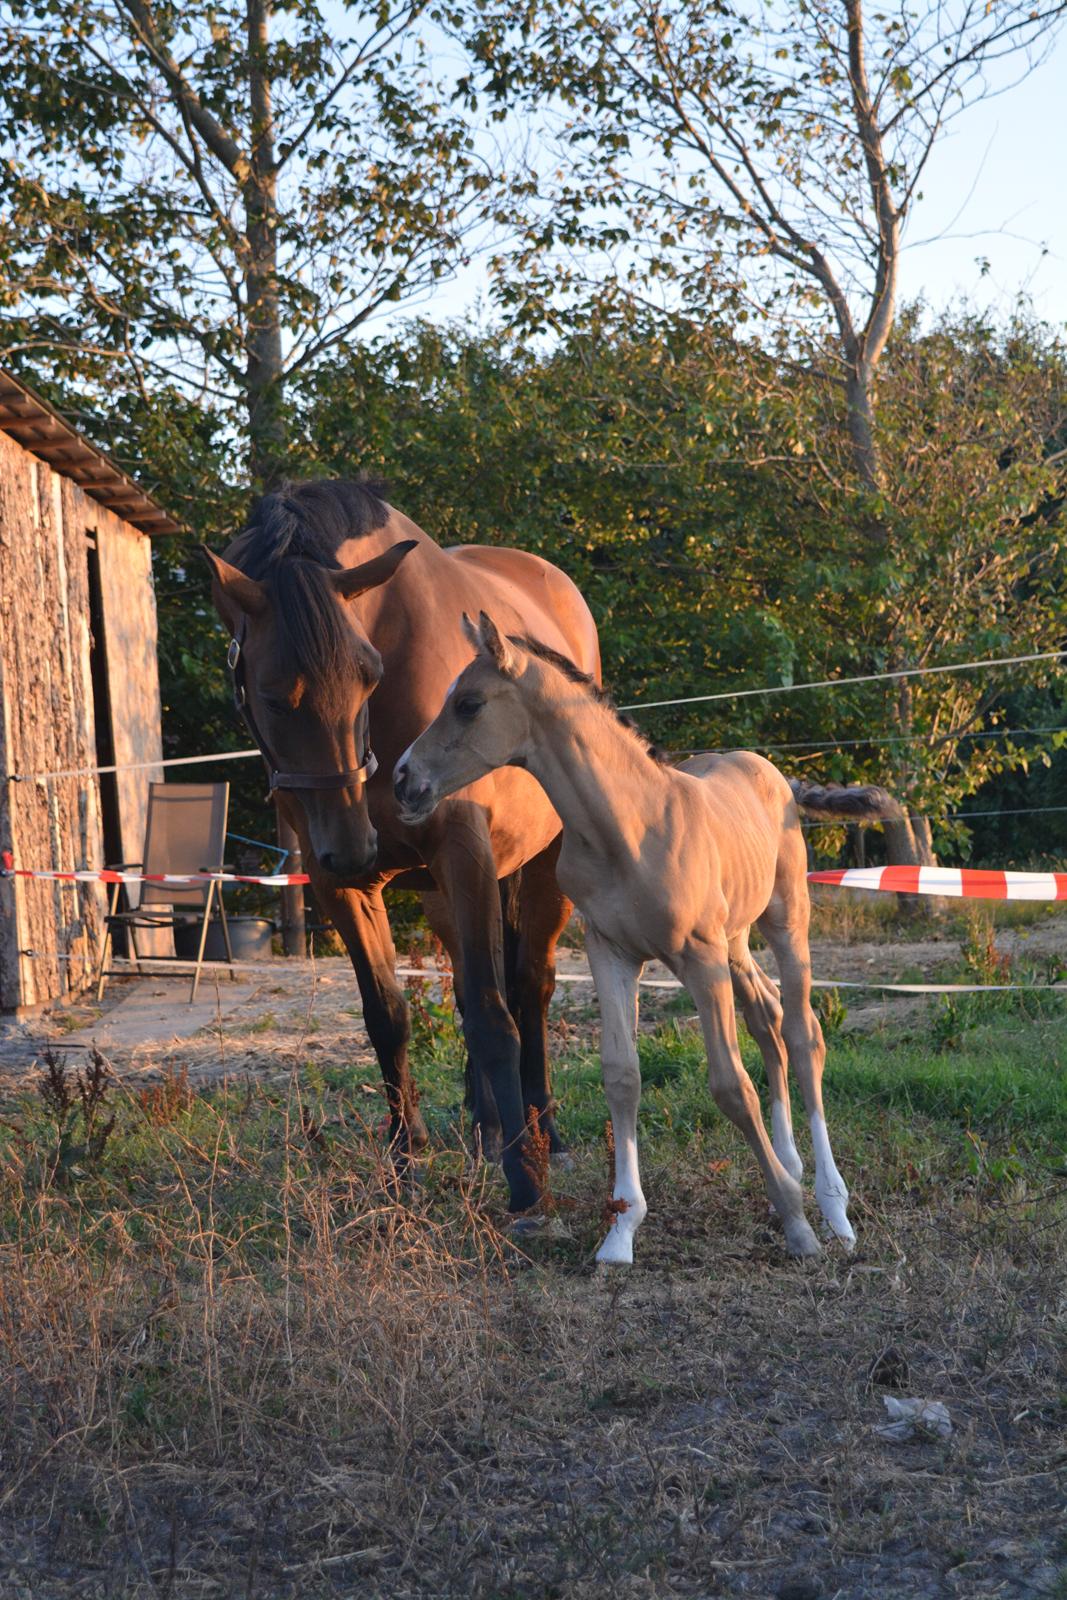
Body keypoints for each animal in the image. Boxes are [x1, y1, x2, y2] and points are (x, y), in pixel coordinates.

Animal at [204, 476, 598, 1209]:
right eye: (269, 696)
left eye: (368, 674)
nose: (355, 845)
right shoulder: (341, 884)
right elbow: (388, 1016)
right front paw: (402, 1163)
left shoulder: (464, 856)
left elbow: (495, 1013)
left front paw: (525, 1185)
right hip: (441, 895)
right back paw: (485, 1128)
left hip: (543, 867)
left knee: (529, 987)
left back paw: (542, 1130)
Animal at [396, 617, 908, 1254]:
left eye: (467, 704)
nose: (402, 779)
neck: (628, 827)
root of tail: (774, 772)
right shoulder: (611, 952)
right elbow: (622, 1075)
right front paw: (620, 1230)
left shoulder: (698, 956)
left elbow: (730, 1085)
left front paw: (797, 1224)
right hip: (735, 941)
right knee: (767, 1018)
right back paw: (788, 1168)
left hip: (785, 920)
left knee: (802, 1031)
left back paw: (832, 1206)